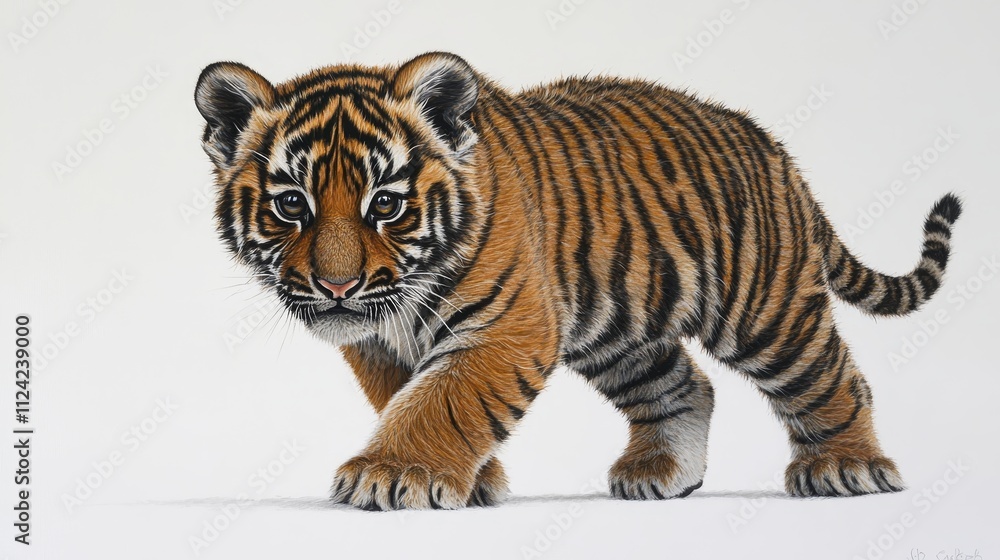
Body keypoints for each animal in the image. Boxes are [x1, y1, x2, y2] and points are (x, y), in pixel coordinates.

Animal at [194, 51, 961, 510]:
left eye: (385, 204)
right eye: (290, 204)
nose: (336, 289)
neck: (395, 309)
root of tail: (775, 149)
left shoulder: (505, 329)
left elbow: (443, 399)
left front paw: (391, 475)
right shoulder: (379, 345)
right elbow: (404, 398)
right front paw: (473, 481)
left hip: (765, 311)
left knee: (832, 376)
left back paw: (847, 467)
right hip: (622, 334)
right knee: (686, 386)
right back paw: (660, 473)